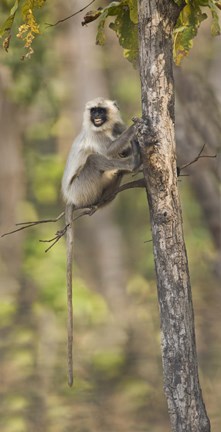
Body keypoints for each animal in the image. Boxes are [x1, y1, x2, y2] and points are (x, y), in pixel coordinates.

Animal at [61, 97, 141, 384]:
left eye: (101, 111)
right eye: (93, 111)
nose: (96, 117)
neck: (102, 128)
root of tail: (71, 199)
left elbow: (116, 141)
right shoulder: (95, 136)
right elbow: (106, 149)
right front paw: (136, 128)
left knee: (111, 166)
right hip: (82, 187)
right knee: (97, 158)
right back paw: (134, 162)